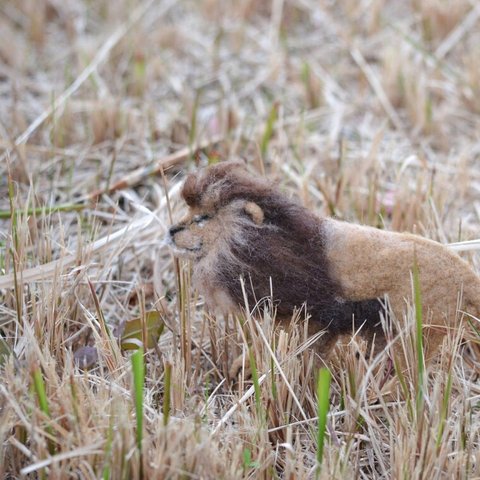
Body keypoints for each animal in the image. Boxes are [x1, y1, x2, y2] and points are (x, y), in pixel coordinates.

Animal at [167, 161, 480, 372]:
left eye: (202, 218)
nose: (170, 231)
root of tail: (468, 278)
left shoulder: (304, 315)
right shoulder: (319, 324)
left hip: (416, 332)